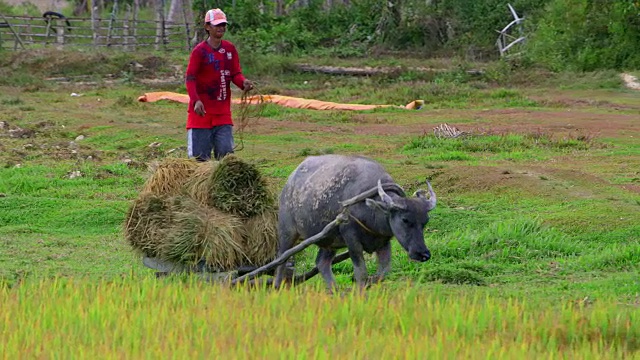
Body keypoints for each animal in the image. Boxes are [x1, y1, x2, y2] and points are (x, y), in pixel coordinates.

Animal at [276, 155, 436, 290]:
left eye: (425, 222)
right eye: (405, 220)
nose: (424, 254)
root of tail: (289, 184)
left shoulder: (383, 241)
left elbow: (383, 273)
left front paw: (370, 282)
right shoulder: (351, 239)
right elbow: (361, 273)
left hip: (329, 239)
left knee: (322, 263)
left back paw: (335, 291)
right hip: (287, 232)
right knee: (281, 259)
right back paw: (277, 287)